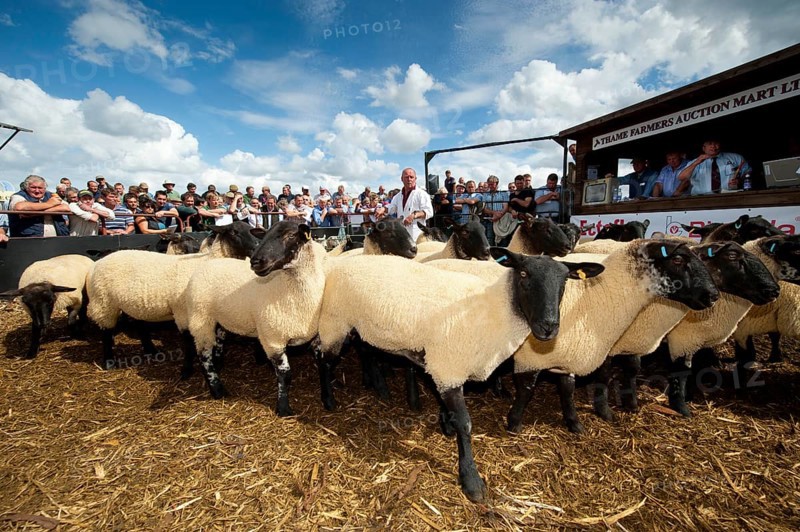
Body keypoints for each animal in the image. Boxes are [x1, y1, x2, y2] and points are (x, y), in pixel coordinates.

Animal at [87, 222, 264, 369]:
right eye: (234, 232)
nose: (257, 246)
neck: (209, 261)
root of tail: (100, 261)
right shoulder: (184, 311)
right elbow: (189, 339)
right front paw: (189, 367)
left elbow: (220, 337)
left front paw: (218, 360)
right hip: (104, 302)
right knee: (106, 332)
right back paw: (109, 361)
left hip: (131, 302)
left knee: (139, 325)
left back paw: (151, 350)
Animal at [177, 222, 327, 415]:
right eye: (265, 234)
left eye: (291, 235)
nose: (255, 261)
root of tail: (211, 261)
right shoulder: (272, 339)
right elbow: (285, 375)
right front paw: (283, 408)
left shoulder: (316, 337)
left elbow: (322, 364)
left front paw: (328, 397)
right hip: (200, 318)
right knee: (204, 355)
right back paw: (217, 389)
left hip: (218, 320)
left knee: (217, 343)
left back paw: (219, 365)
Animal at [316, 248, 604, 502]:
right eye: (523, 274)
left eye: (565, 280)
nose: (548, 327)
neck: (494, 311)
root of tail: (343, 262)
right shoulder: (449, 367)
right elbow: (465, 424)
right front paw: (471, 481)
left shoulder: (443, 366)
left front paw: (445, 425)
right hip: (335, 322)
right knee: (322, 357)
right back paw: (328, 400)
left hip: (359, 327)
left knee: (364, 350)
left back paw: (377, 386)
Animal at [433, 240, 718, 434]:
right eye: (678, 260)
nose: (713, 295)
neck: (597, 296)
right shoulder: (531, 358)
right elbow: (527, 390)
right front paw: (514, 423)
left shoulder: (573, 352)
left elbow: (569, 389)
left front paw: (575, 422)